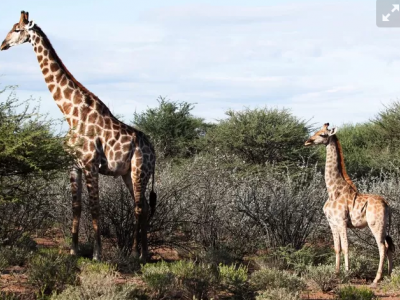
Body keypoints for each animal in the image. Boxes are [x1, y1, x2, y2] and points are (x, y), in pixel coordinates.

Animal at [0, 11, 156, 260]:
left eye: (16, 29)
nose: (3, 45)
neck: (70, 114)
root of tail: (154, 150)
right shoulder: (73, 165)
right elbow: (77, 206)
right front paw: (73, 250)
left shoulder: (91, 164)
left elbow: (95, 207)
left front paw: (97, 254)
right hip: (127, 174)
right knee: (143, 207)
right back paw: (143, 253)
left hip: (139, 170)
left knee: (140, 207)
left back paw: (136, 254)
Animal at [306, 123, 394, 284]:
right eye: (317, 131)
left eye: (322, 134)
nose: (308, 141)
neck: (333, 190)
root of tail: (387, 204)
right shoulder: (332, 223)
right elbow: (337, 247)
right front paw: (336, 273)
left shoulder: (342, 222)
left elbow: (346, 247)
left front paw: (346, 273)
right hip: (385, 226)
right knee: (389, 246)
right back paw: (390, 275)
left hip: (375, 224)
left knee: (382, 247)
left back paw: (376, 278)